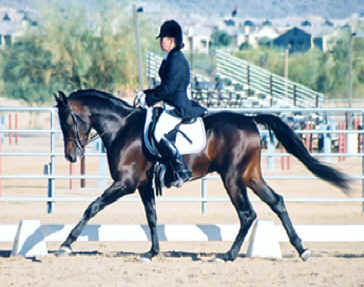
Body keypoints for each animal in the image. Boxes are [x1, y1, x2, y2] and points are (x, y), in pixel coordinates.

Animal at [54, 89, 350, 262]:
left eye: (68, 120)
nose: (71, 157)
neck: (123, 127)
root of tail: (250, 120)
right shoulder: (142, 185)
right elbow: (151, 217)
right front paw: (152, 252)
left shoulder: (125, 183)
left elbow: (92, 207)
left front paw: (66, 244)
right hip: (250, 176)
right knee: (277, 202)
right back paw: (302, 249)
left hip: (232, 178)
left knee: (247, 214)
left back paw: (228, 255)